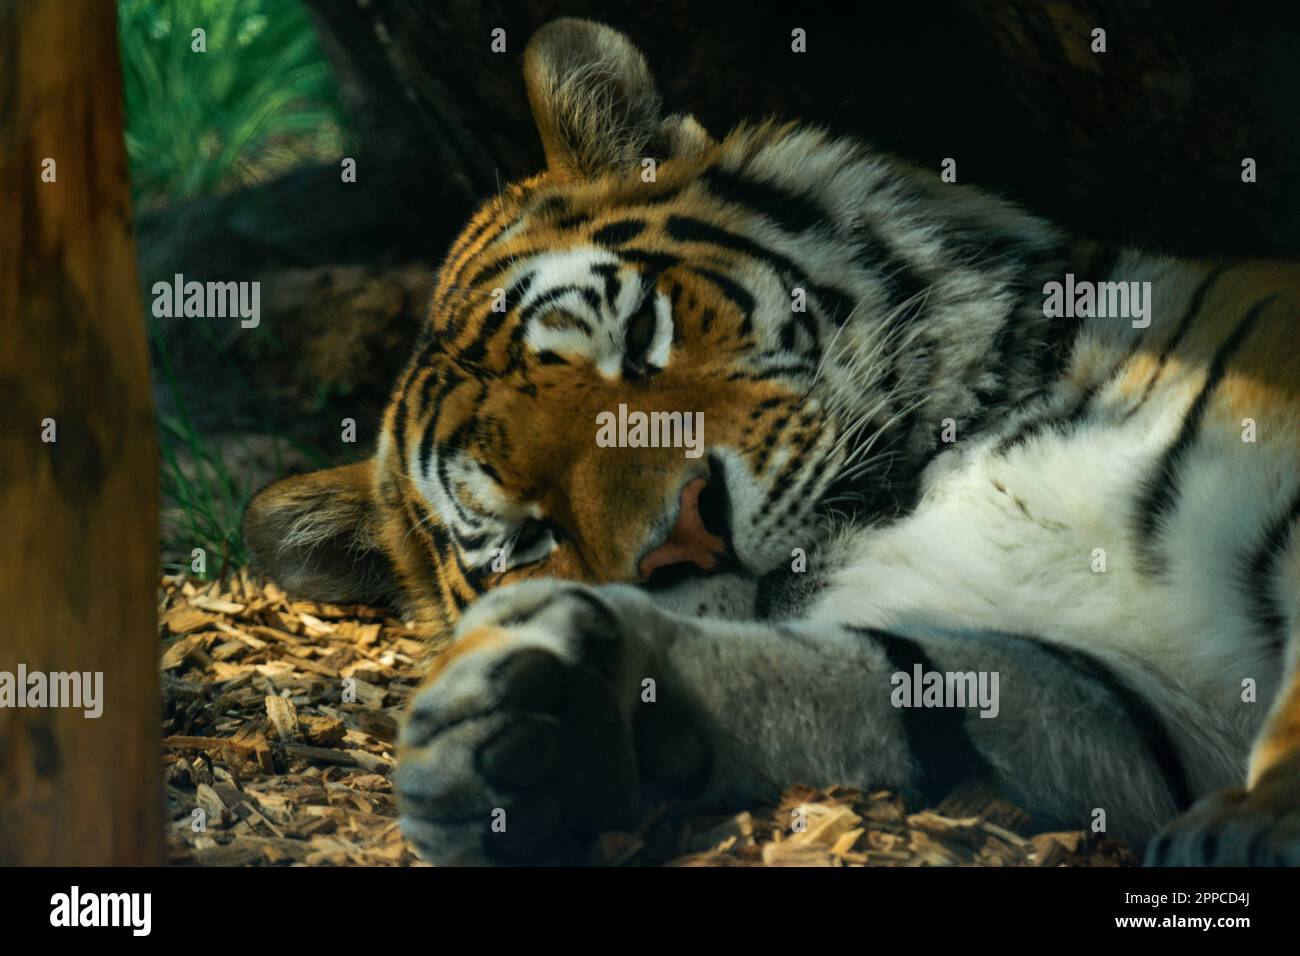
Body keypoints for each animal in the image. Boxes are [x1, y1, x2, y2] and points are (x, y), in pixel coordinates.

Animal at [244, 16, 1300, 868]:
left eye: (639, 336)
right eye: (523, 536)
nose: (686, 533)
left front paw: (1259, 825)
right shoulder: (1113, 695)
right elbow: (888, 683)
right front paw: (537, 724)